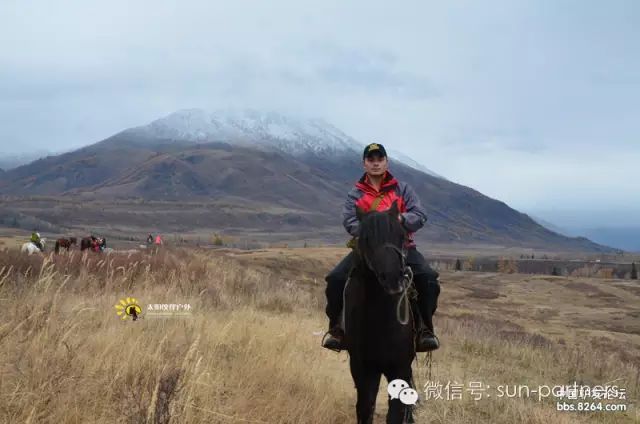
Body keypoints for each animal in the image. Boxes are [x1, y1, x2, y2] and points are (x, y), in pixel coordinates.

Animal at [342, 200, 418, 422]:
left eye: (402, 236)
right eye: (366, 239)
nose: (393, 279)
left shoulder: (399, 368)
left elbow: (396, 413)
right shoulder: (362, 369)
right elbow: (365, 409)